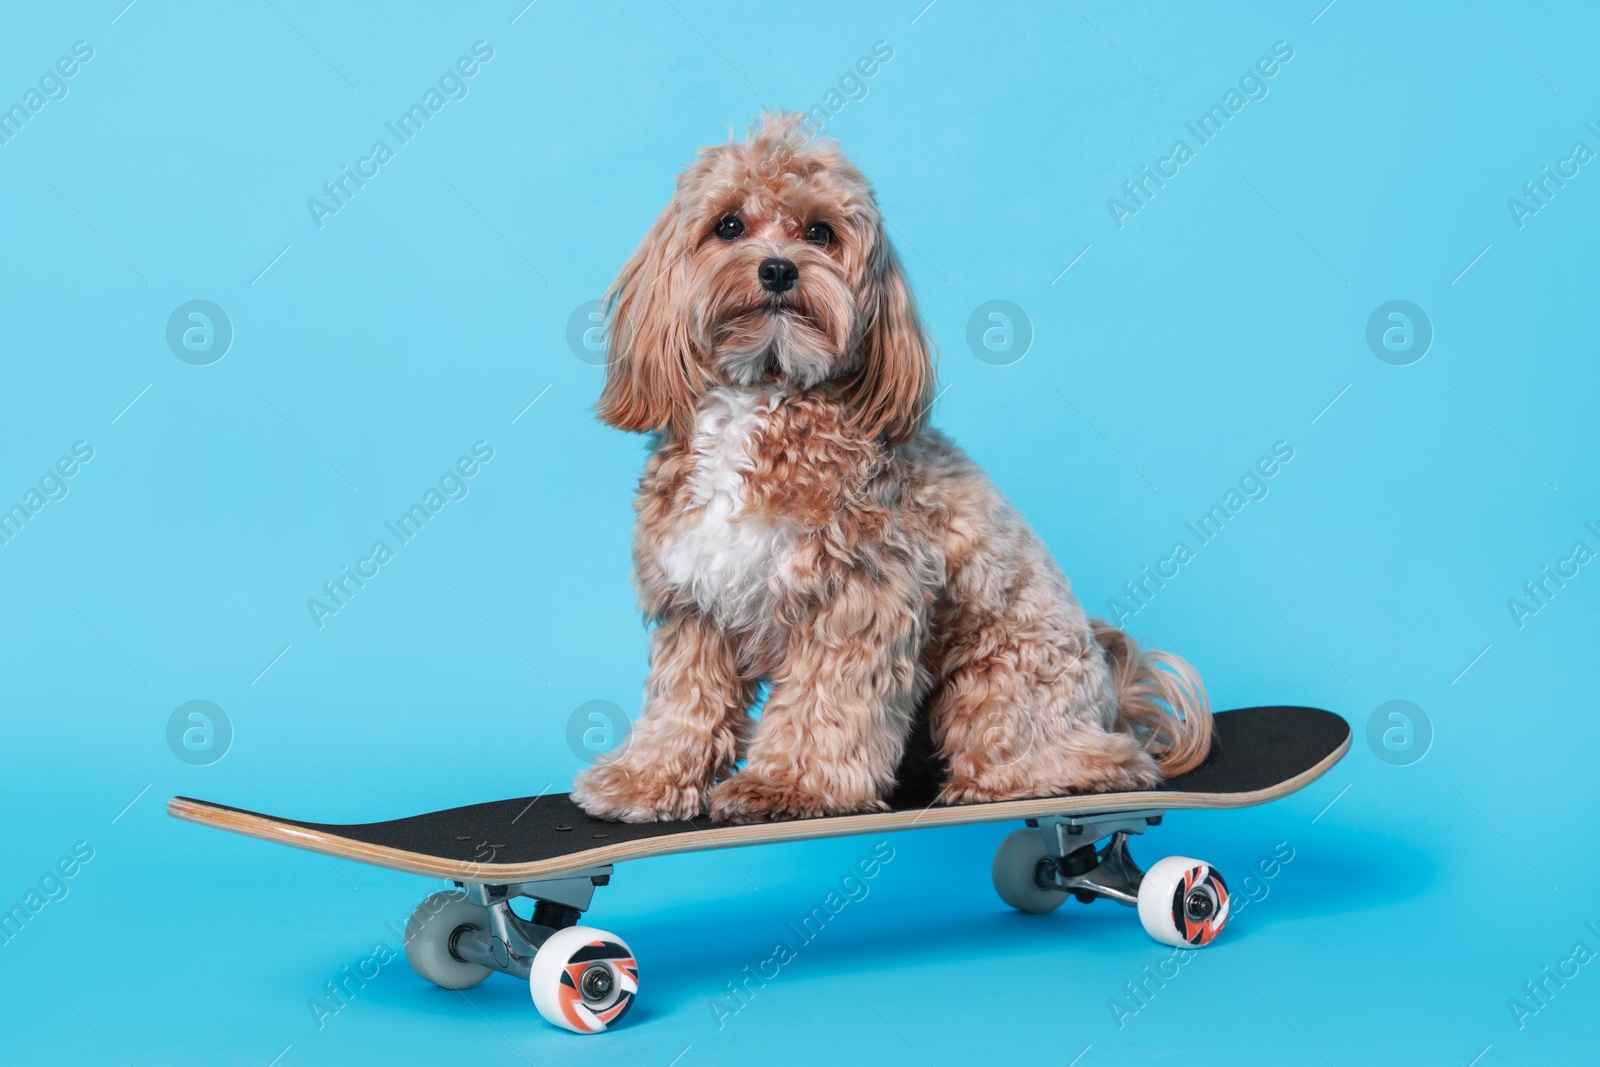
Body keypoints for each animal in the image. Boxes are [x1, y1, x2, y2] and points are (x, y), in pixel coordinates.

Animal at [569, 110, 1203, 825]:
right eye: (728, 226)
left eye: (819, 232)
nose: (779, 270)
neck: (760, 395)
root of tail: (1115, 704)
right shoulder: (694, 602)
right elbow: (684, 703)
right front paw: (645, 779)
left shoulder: (858, 596)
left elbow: (824, 705)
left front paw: (789, 787)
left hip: (1000, 683)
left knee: (1086, 759)